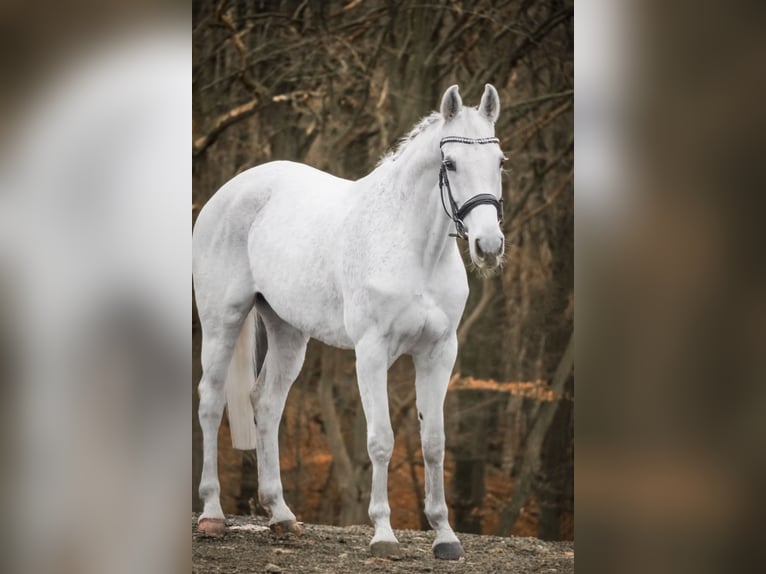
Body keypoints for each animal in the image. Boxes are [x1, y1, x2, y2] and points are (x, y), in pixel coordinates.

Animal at [195, 83, 508, 560]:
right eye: (450, 163)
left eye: (500, 162)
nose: (488, 247)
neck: (413, 249)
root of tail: (231, 190)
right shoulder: (372, 351)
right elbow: (381, 440)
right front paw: (384, 535)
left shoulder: (439, 353)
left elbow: (434, 443)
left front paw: (445, 537)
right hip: (221, 322)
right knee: (211, 403)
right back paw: (212, 515)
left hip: (289, 333)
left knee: (266, 404)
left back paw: (282, 516)